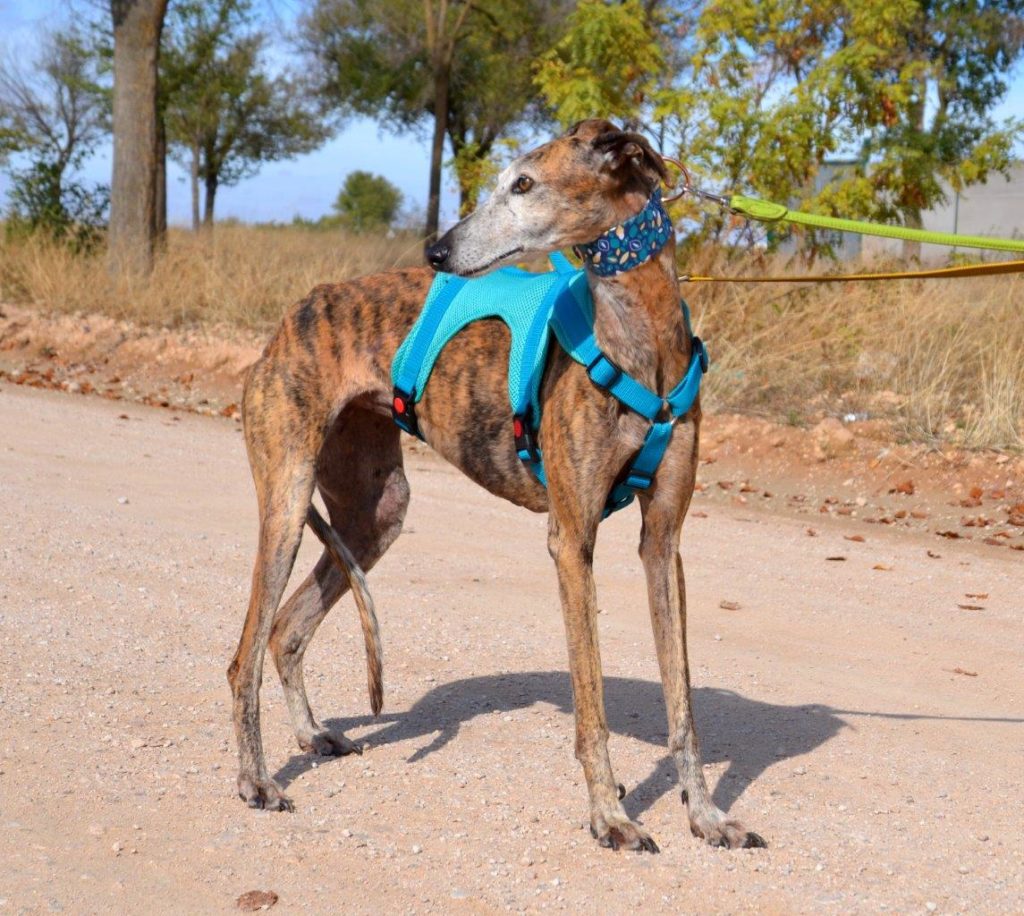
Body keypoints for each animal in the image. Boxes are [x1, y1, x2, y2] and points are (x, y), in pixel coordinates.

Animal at [228, 116, 765, 851]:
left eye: (524, 184)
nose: (437, 250)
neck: (639, 336)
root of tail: (291, 318)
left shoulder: (663, 542)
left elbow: (681, 703)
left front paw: (705, 815)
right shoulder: (571, 540)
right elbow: (591, 707)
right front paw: (610, 816)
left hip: (376, 514)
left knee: (286, 629)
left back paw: (311, 734)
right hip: (285, 500)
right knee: (244, 656)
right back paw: (256, 781)